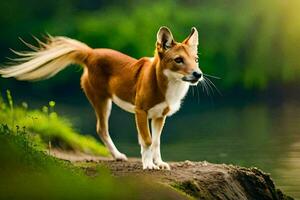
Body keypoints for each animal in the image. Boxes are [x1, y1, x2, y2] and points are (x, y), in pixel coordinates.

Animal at [0, 26, 204, 170]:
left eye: (195, 59)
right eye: (178, 60)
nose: (198, 74)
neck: (168, 84)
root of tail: (91, 53)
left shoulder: (159, 116)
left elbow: (156, 142)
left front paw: (159, 163)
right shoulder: (140, 112)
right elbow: (146, 141)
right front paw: (148, 165)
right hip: (102, 101)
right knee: (101, 129)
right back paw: (118, 155)